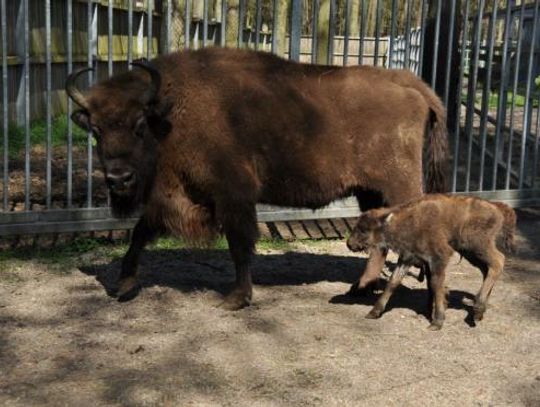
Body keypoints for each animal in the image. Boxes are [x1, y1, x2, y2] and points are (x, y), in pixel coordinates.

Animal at [66, 47, 448, 310]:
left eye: (138, 125)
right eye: (96, 130)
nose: (119, 178)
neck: (170, 111)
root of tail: (412, 85)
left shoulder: (233, 196)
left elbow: (239, 245)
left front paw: (236, 298)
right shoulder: (173, 198)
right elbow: (141, 233)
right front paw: (124, 286)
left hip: (398, 186)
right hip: (369, 191)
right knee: (378, 237)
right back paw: (360, 288)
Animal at [346, 194, 516, 332]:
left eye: (364, 230)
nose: (349, 244)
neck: (405, 221)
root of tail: (498, 208)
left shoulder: (439, 258)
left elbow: (436, 285)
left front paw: (437, 321)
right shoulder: (408, 259)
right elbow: (393, 282)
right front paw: (373, 312)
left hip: (478, 245)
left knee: (498, 262)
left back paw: (478, 307)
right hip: (470, 252)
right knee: (486, 270)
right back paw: (479, 312)